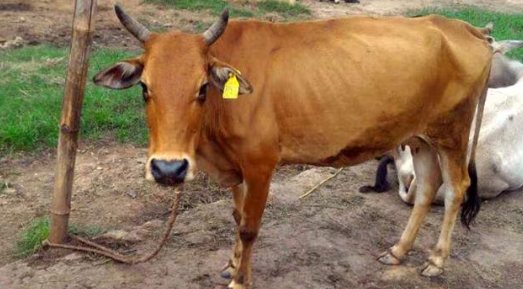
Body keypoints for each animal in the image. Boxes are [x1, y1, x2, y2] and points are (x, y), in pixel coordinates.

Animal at [95, 5, 496, 286]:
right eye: (145, 87)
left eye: (203, 88)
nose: (168, 169)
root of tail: (465, 28)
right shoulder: (236, 166)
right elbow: (236, 216)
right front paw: (232, 264)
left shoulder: (261, 164)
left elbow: (249, 226)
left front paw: (240, 280)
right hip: (420, 136)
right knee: (427, 187)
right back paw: (397, 252)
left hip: (453, 133)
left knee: (456, 188)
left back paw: (436, 260)